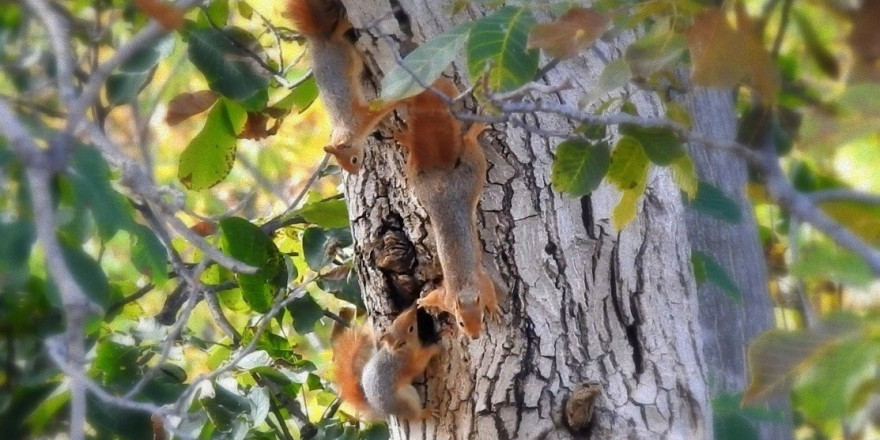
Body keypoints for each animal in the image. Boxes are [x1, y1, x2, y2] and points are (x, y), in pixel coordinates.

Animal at [288, 0, 398, 174]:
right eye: (342, 164)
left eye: (353, 160)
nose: (356, 172)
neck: (348, 128)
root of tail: (319, 41)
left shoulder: (363, 116)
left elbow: (383, 107)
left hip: (342, 53)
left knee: (336, 34)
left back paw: (343, 23)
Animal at [396, 80, 498, 340]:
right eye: (461, 323)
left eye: (481, 317)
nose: (474, 336)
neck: (464, 291)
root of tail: (442, 182)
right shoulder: (446, 296)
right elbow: (435, 296)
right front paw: (423, 302)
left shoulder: (482, 283)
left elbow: (491, 290)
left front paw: (494, 307)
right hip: (431, 181)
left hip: (466, 173)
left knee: (468, 142)